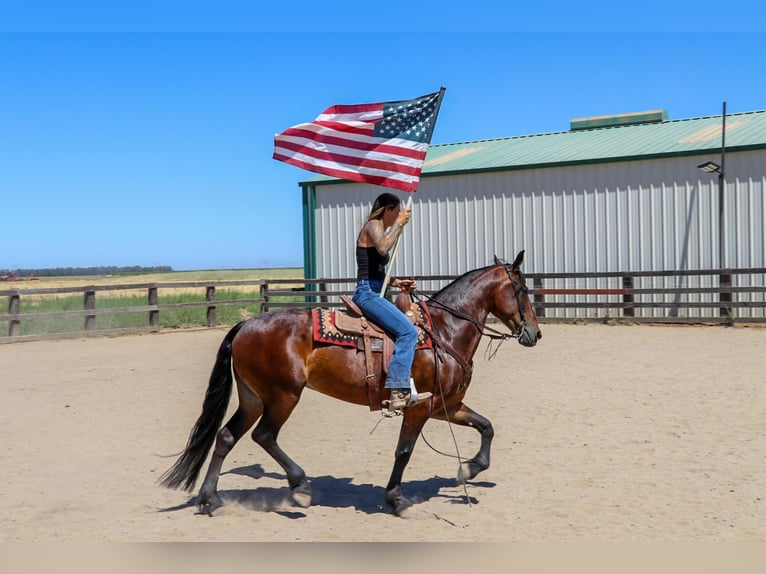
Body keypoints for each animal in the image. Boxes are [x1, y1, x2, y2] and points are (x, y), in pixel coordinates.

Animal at [159, 251, 542, 517]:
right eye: (522, 289)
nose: (535, 334)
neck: (444, 332)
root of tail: (245, 325)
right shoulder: (419, 409)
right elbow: (404, 451)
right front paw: (396, 499)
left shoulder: (446, 406)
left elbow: (486, 426)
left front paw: (469, 469)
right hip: (283, 395)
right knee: (264, 435)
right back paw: (299, 486)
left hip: (253, 396)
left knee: (226, 436)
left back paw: (209, 499)